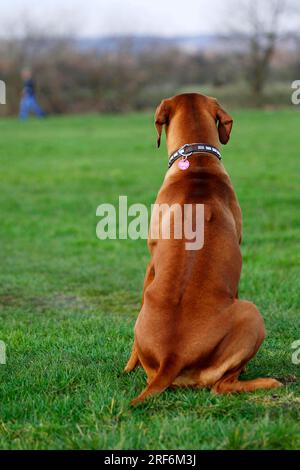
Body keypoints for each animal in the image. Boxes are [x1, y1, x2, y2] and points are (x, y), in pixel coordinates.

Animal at [124, 92, 282, 404]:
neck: (196, 161)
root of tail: (172, 357)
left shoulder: (151, 262)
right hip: (251, 312)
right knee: (221, 386)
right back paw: (266, 381)